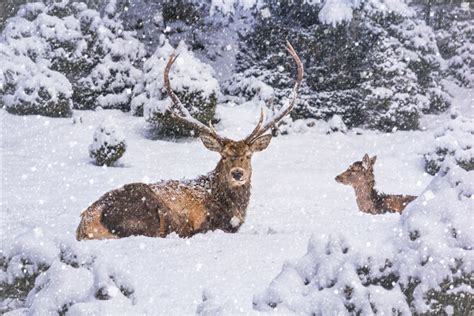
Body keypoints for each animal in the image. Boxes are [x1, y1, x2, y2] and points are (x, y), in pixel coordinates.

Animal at [76, 41, 302, 239]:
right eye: (224, 156)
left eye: (248, 156)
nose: (238, 173)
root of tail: (85, 225)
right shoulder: (209, 223)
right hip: (147, 212)